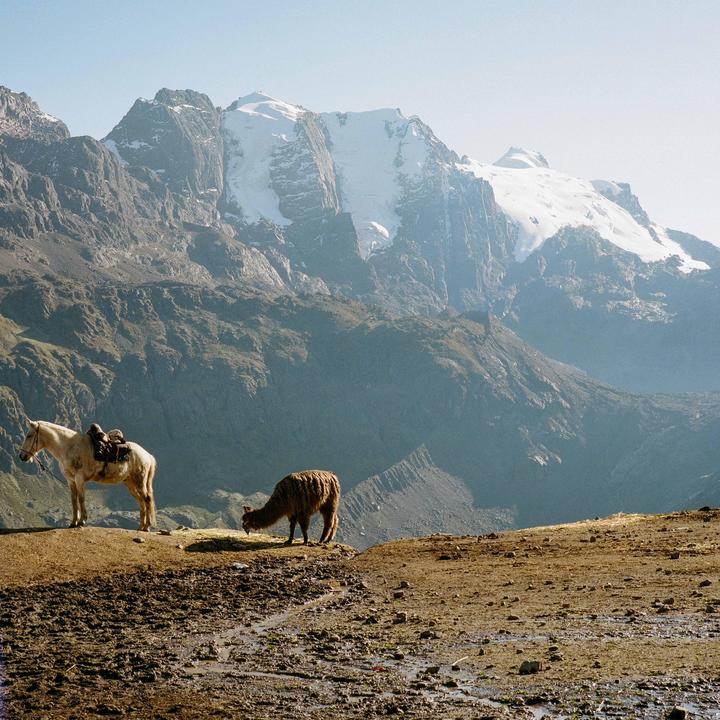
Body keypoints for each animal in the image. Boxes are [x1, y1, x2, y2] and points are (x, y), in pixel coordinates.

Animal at [18, 420, 157, 531]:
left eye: (29, 435)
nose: (22, 456)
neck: (69, 446)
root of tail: (147, 455)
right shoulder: (71, 480)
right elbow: (73, 500)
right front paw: (73, 522)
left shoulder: (79, 478)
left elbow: (81, 498)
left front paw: (82, 521)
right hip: (130, 483)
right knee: (141, 501)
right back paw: (140, 527)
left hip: (139, 481)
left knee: (146, 499)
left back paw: (147, 527)